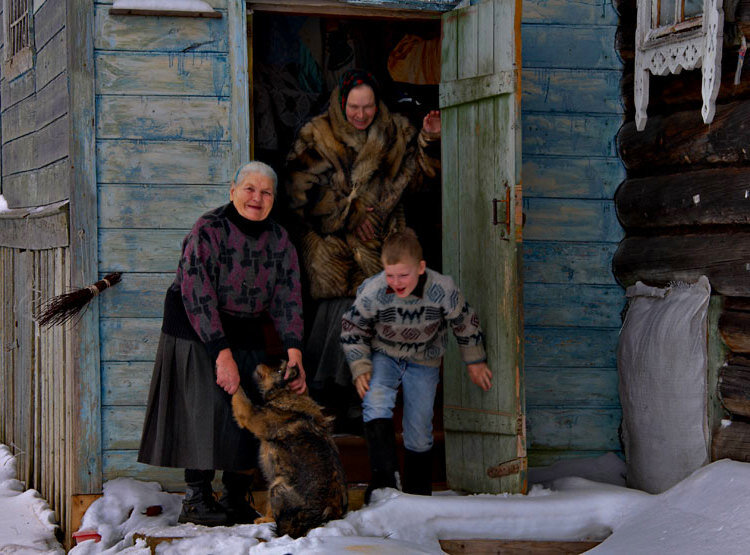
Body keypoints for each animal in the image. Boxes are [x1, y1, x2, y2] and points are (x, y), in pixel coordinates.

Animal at [232, 360, 350, 540]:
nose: (260, 363)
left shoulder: (249, 414)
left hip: (277, 487)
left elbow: (239, 393)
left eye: (279, 370)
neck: (288, 395)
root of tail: (326, 513)